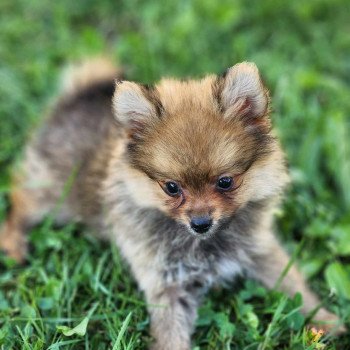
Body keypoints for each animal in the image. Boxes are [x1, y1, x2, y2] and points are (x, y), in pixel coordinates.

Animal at [0, 58, 344, 348]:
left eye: (225, 182)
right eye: (171, 188)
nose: (201, 223)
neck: (203, 244)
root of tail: (78, 94)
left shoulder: (261, 251)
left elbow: (296, 286)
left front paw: (328, 321)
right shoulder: (165, 284)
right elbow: (171, 334)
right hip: (51, 193)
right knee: (20, 201)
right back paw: (13, 245)